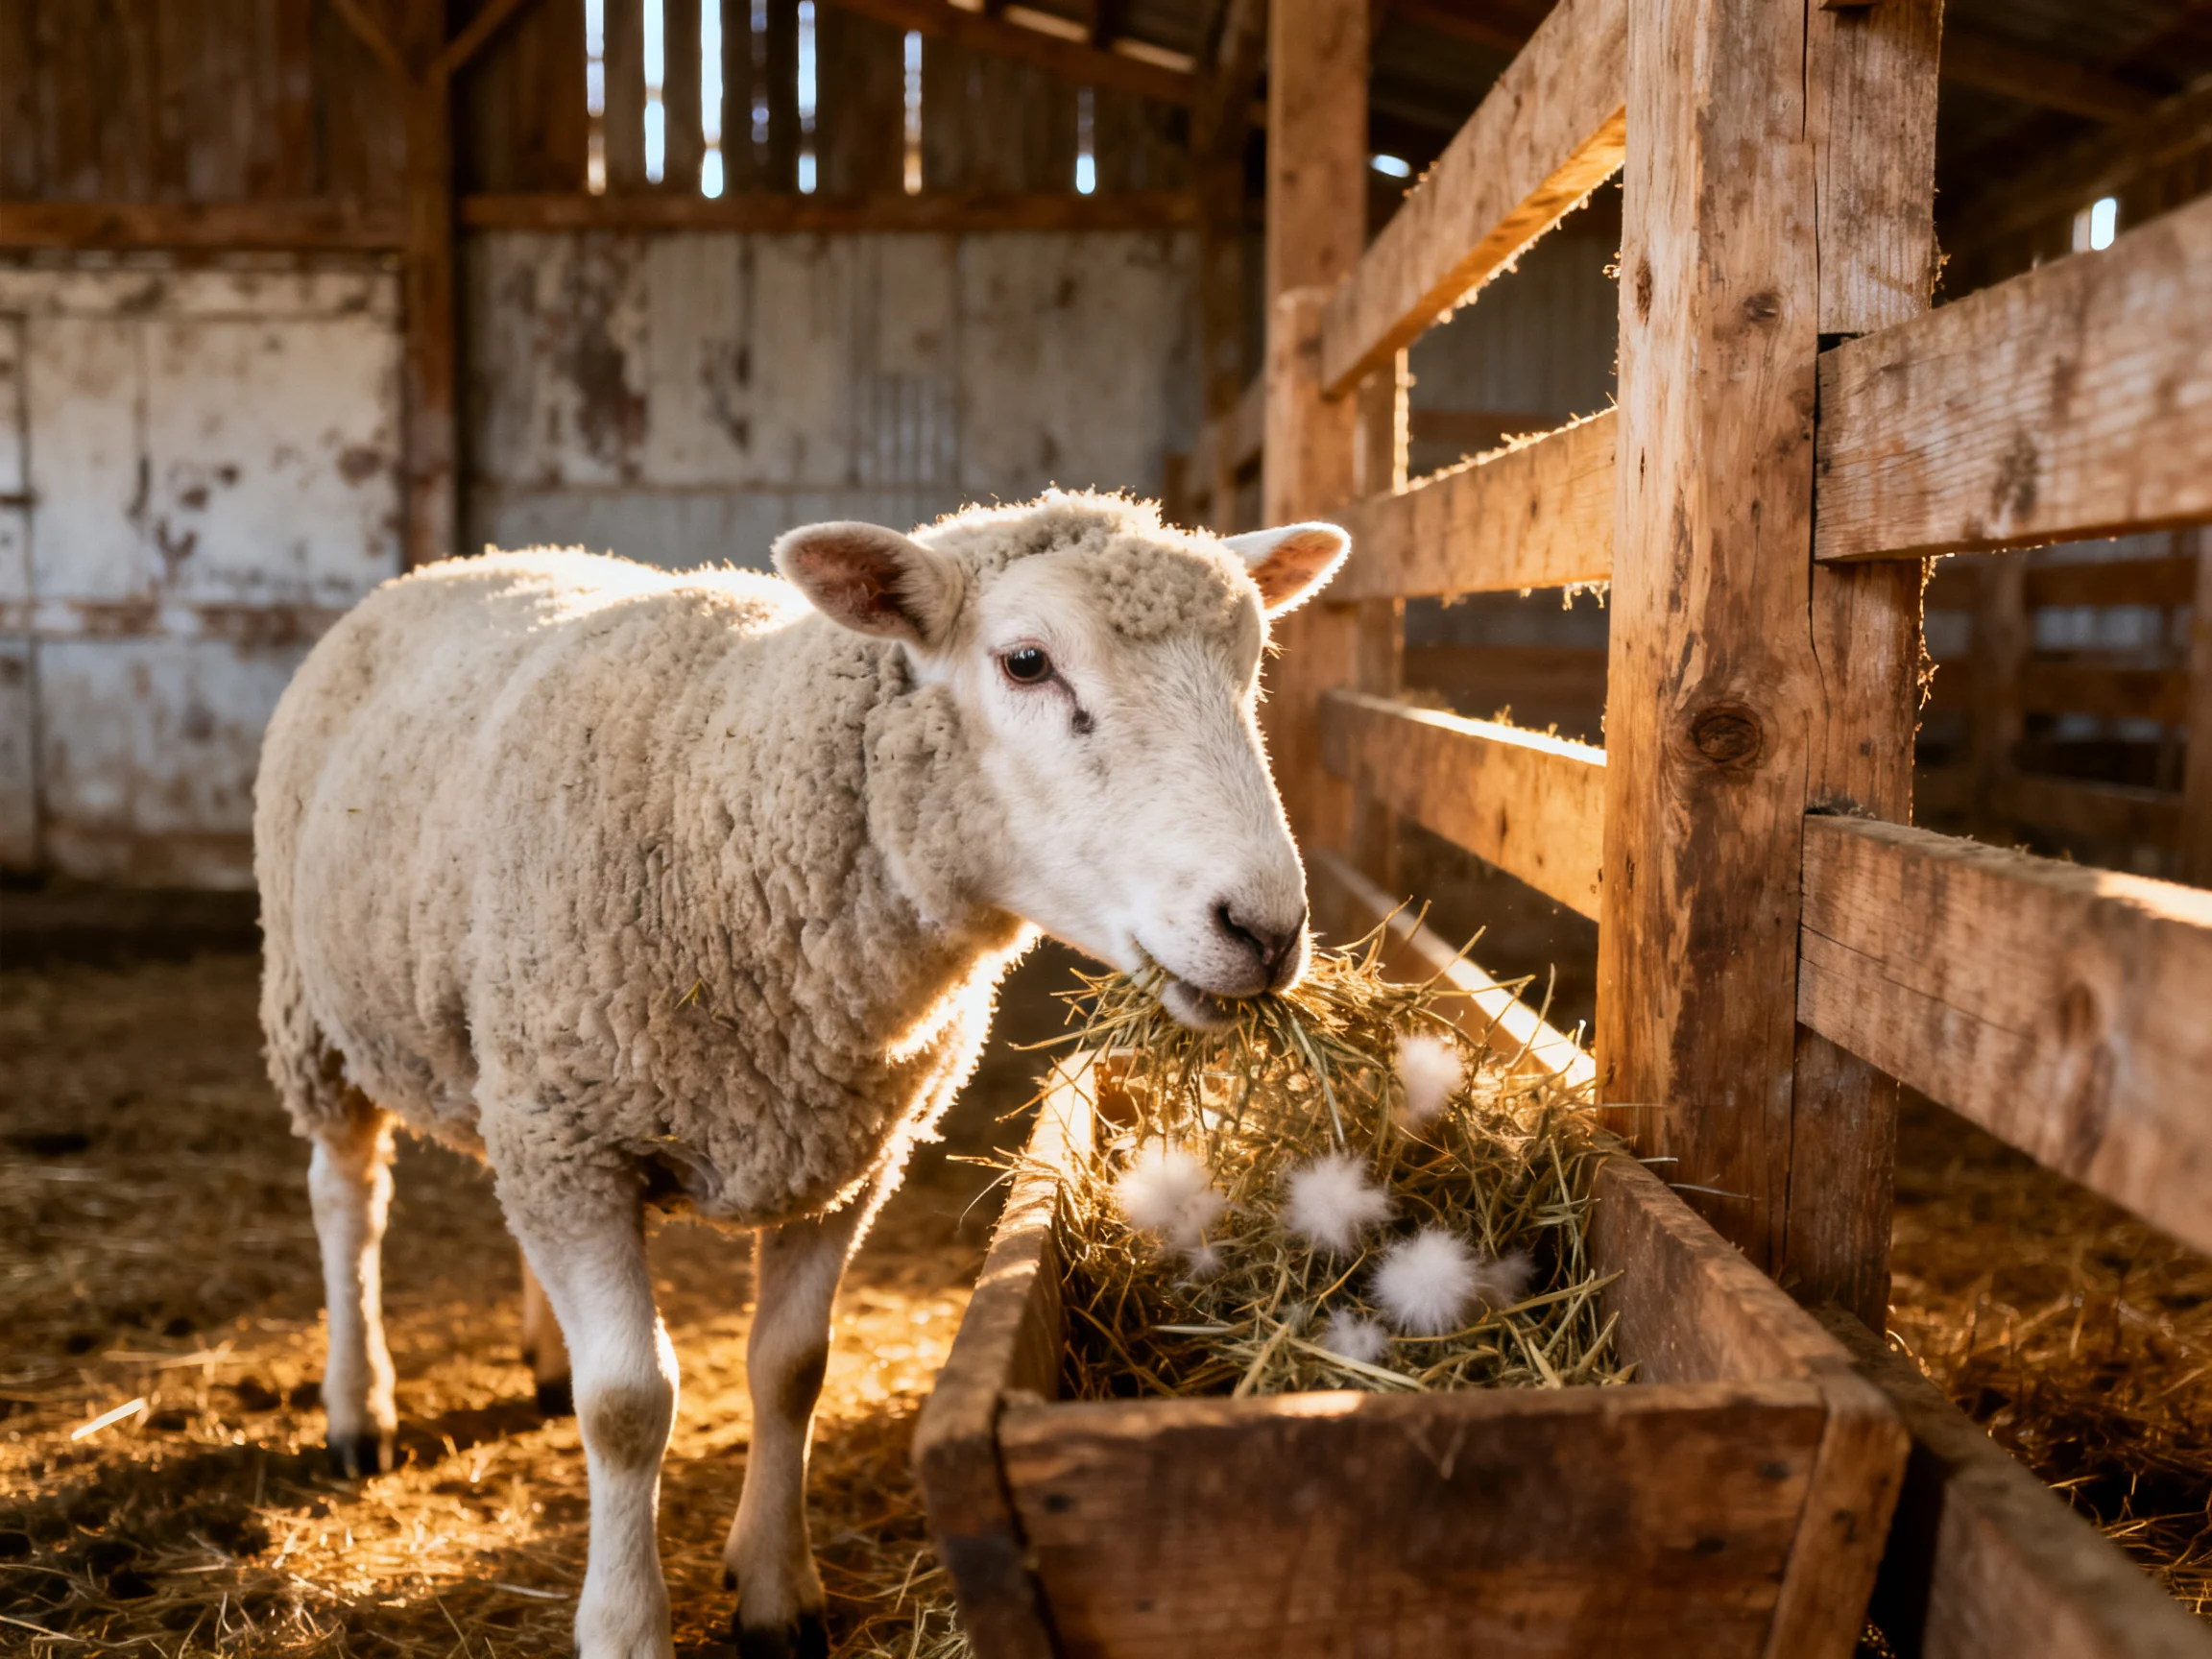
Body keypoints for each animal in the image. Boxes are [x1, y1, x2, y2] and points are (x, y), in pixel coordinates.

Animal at [253, 490, 1349, 1659]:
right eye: (1025, 662)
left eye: (1251, 663)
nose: (1266, 930)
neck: (727, 807)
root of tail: (470, 559)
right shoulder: (579, 1145)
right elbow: (629, 1405)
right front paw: (626, 1623)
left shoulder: (838, 1152)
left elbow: (790, 1370)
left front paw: (778, 1594)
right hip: (317, 1015)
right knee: (347, 1201)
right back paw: (358, 1406)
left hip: (506, 1065)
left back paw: (542, 1359)